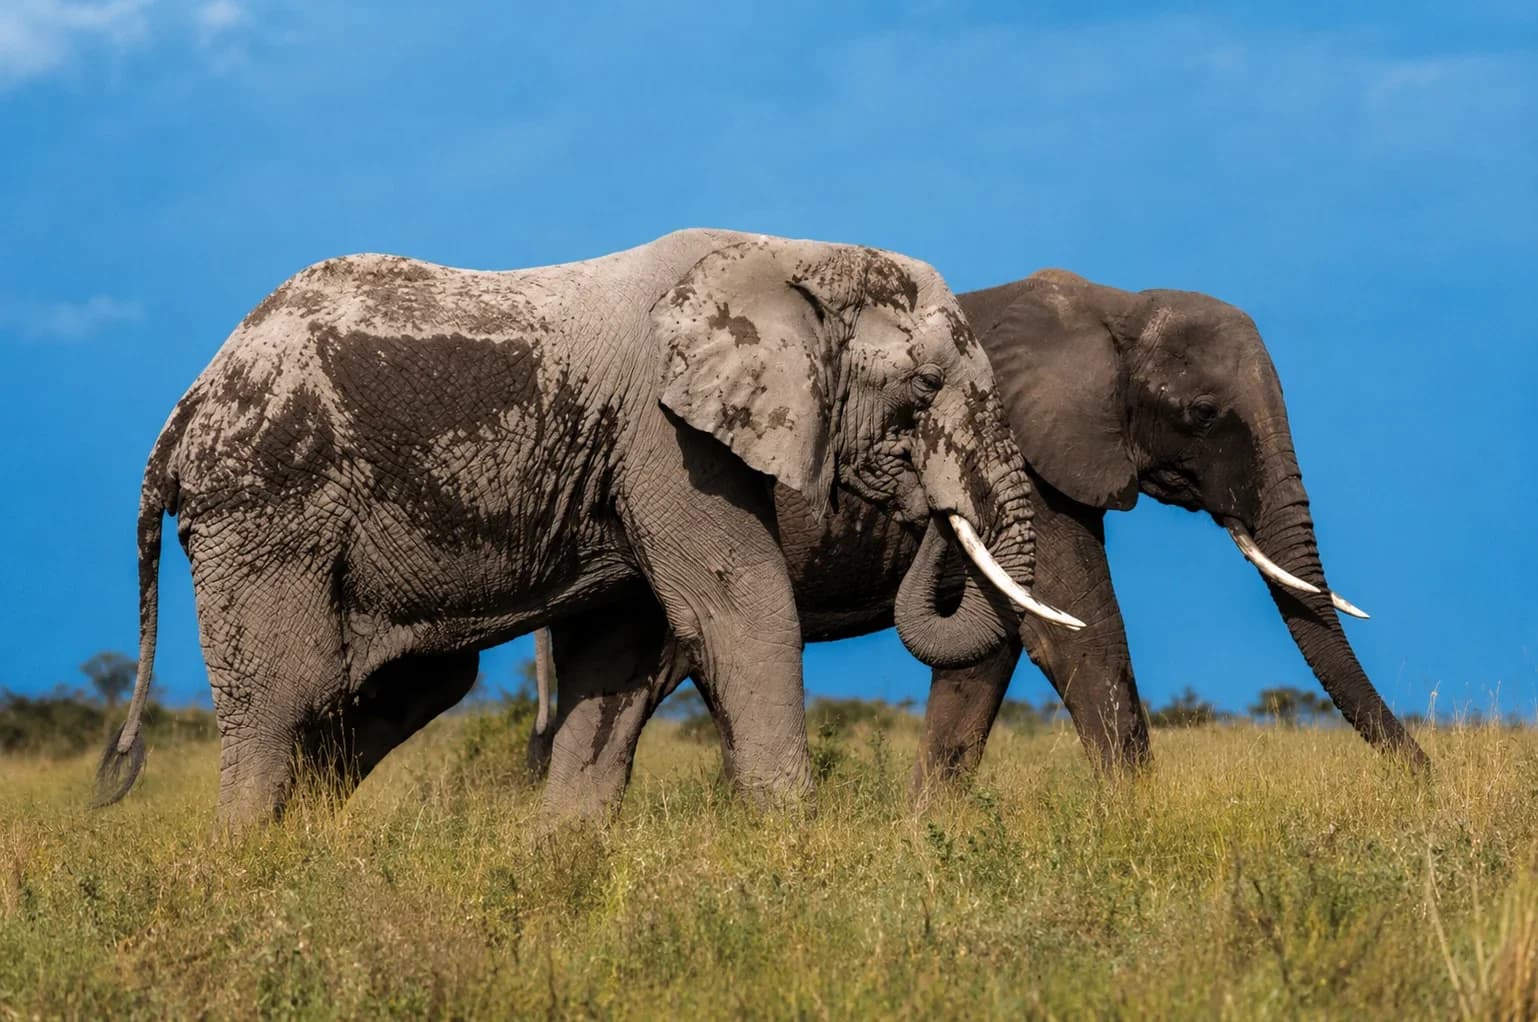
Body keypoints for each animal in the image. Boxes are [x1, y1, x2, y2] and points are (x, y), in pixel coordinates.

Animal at [93, 229, 1079, 828]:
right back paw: (248, 869)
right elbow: (744, 610)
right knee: (288, 687)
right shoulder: (666, 438)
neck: (792, 254)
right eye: (924, 389)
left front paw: (560, 861)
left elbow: (621, 653)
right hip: (266, 503)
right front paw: (796, 845)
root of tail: (180, 416)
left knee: (396, 688)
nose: (928, 504)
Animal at [526, 268, 1426, 797]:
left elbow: (988, 656)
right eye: (1202, 414)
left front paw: (927, 832)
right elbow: (1076, 628)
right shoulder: (1030, 450)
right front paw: (1135, 823)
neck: (1110, 309)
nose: (1425, 780)